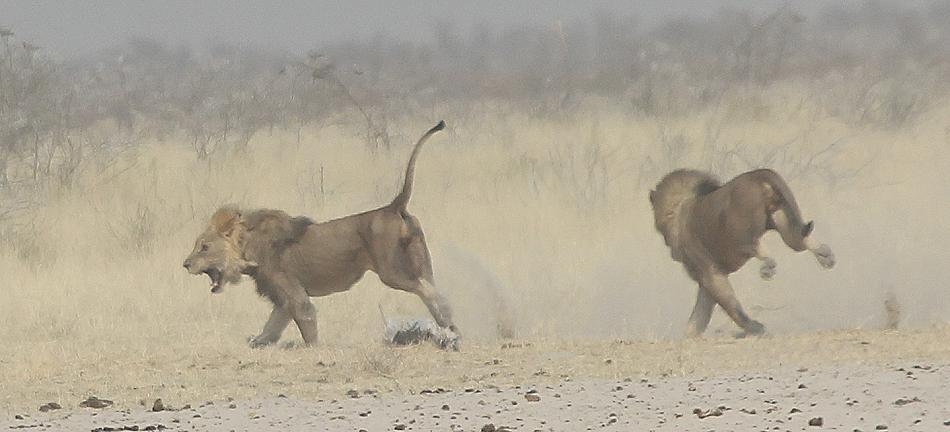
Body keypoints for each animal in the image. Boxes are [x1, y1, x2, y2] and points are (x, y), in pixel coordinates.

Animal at [184, 120, 462, 350]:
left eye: (204, 247)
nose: (185, 264)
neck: (247, 248)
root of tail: (394, 206)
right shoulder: (283, 299)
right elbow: (272, 326)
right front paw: (257, 341)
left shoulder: (293, 293)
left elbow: (306, 322)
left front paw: (313, 349)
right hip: (421, 262)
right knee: (432, 287)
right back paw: (450, 329)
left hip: (392, 271)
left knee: (428, 291)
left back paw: (447, 320)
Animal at [652, 169, 836, 338]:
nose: (671, 250)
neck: (680, 209)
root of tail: (760, 174)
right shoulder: (705, 279)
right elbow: (700, 314)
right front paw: (690, 335)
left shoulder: (710, 272)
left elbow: (730, 305)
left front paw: (755, 328)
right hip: (784, 219)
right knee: (800, 239)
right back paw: (825, 256)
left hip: (740, 233)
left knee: (754, 244)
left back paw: (768, 267)